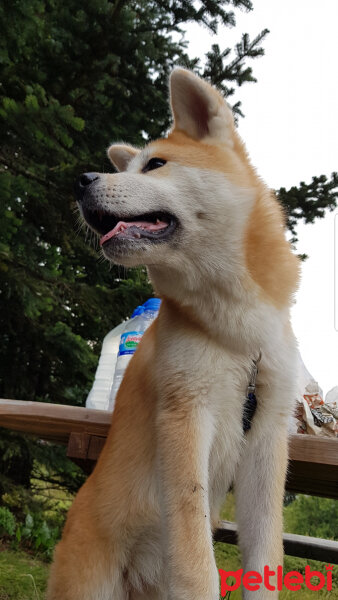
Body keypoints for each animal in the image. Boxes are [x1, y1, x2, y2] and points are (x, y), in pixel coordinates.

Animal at [46, 68, 298, 596]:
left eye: (156, 164)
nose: (81, 181)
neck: (240, 337)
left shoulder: (267, 436)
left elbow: (266, 551)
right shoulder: (187, 413)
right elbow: (196, 558)